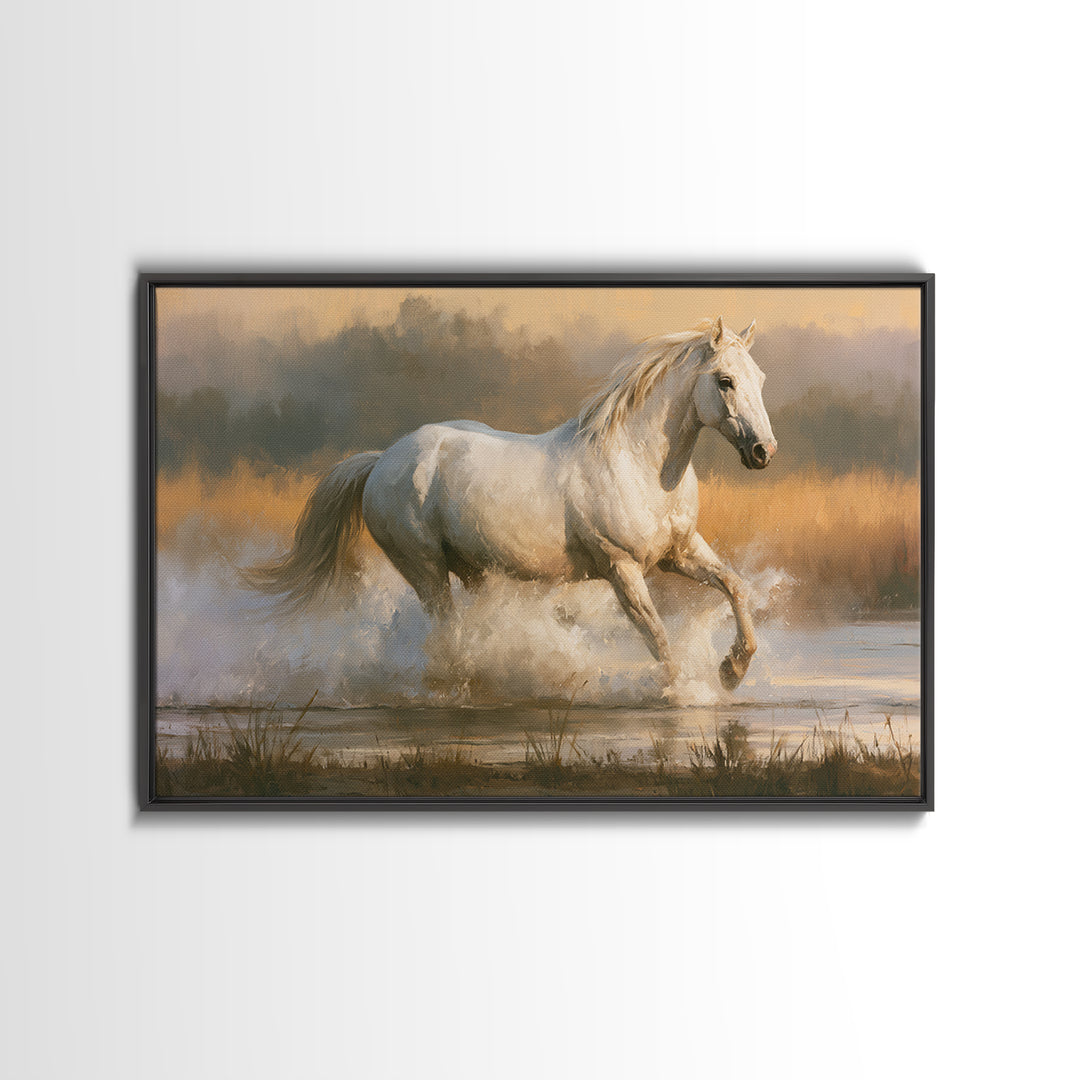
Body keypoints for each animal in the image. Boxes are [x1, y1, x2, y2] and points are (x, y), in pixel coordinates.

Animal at [245, 315, 777, 691]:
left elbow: (735, 587)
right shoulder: (621, 568)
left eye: (761, 378)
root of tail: (381, 461)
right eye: (725, 380)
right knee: (448, 635)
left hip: (474, 570)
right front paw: (683, 692)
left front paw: (733, 670)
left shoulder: (679, 553)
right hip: (426, 570)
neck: (638, 464)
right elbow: (658, 638)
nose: (763, 452)